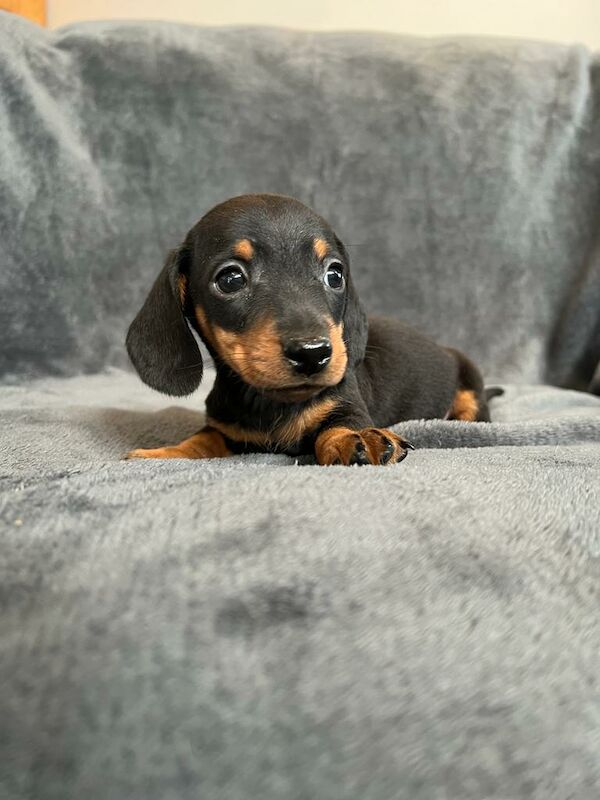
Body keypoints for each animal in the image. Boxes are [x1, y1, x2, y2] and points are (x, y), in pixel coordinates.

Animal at [124, 194, 490, 466]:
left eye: (335, 275)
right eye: (230, 279)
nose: (313, 354)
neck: (269, 403)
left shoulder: (346, 403)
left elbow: (341, 422)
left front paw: (356, 438)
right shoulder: (225, 429)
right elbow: (203, 437)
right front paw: (163, 452)